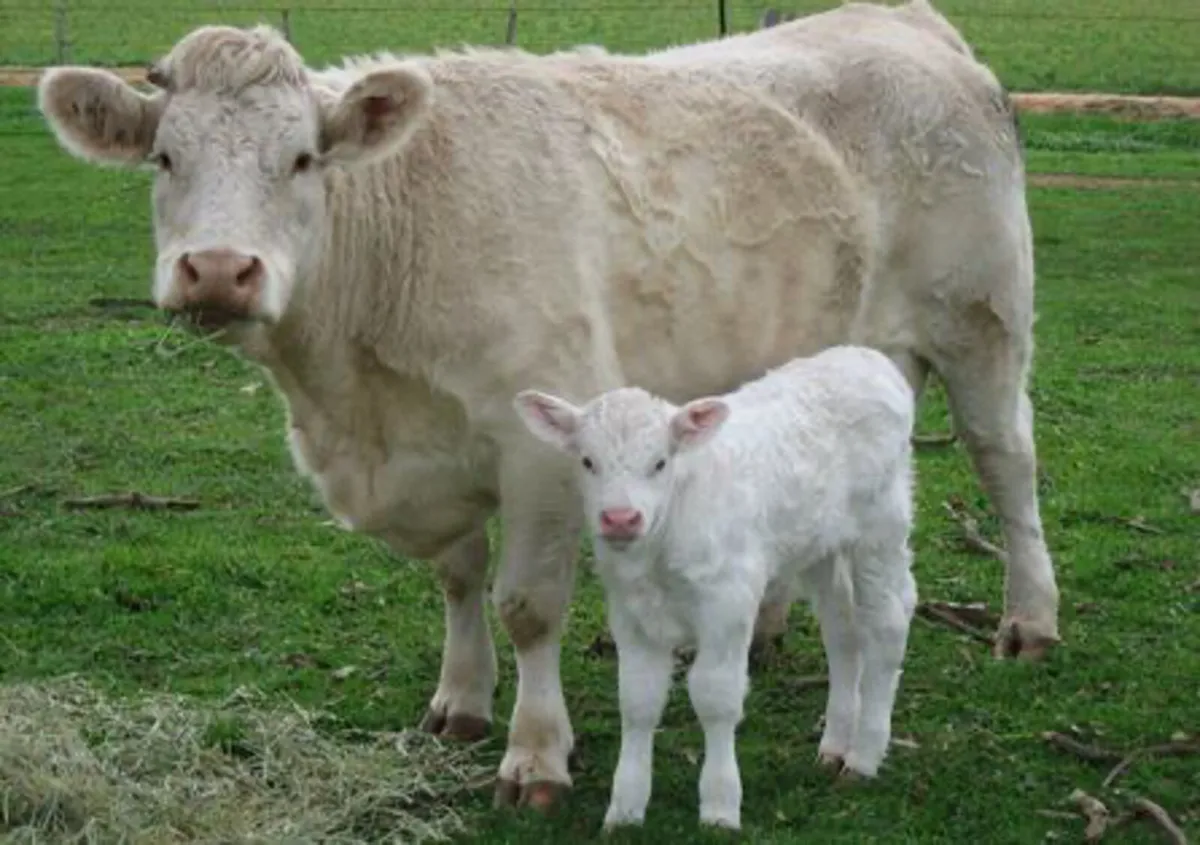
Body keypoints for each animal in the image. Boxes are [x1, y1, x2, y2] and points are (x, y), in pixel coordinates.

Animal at [36, 0, 1060, 811]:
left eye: (300, 159)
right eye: (164, 158)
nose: (217, 270)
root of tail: (899, 19)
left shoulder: (539, 447)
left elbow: (527, 604)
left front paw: (535, 753)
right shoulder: (434, 452)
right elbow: (457, 578)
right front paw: (460, 700)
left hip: (984, 321)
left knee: (1007, 463)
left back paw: (1029, 621)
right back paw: (769, 628)